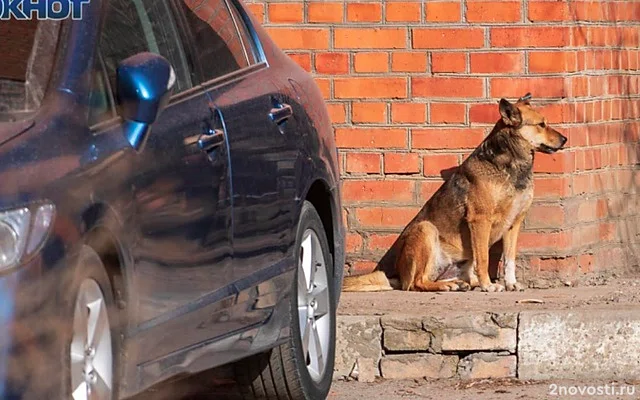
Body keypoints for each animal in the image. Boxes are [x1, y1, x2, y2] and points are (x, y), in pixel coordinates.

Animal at [342, 95, 568, 292]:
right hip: (426, 230)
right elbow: (484, 258)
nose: (565, 139)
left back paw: (461, 283)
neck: (512, 165)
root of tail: (398, 275)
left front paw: (511, 284)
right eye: (541, 125)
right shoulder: (480, 220)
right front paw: (489, 286)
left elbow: (510, 259)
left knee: (453, 277)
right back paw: (447, 285)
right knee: (416, 282)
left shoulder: (514, 223)